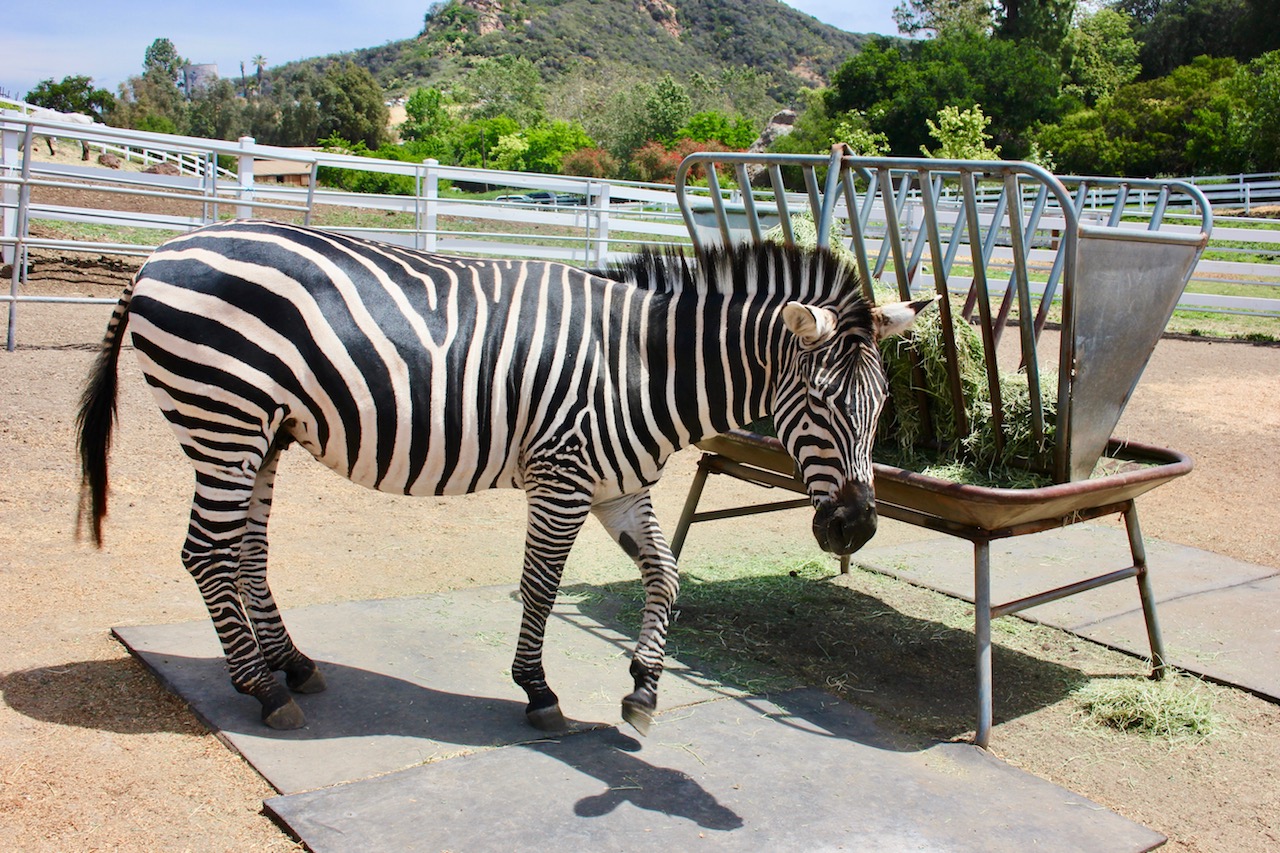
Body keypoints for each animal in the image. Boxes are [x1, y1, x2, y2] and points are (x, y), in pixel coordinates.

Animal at [76, 220, 927, 734]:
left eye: (884, 404)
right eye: (820, 401)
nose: (857, 526)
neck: (642, 367)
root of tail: (158, 255)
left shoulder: (621, 486)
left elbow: (666, 573)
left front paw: (644, 686)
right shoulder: (562, 476)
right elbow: (541, 585)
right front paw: (539, 690)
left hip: (264, 433)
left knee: (245, 550)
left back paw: (293, 663)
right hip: (222, 421)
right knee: (206, 553)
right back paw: (262, 686)